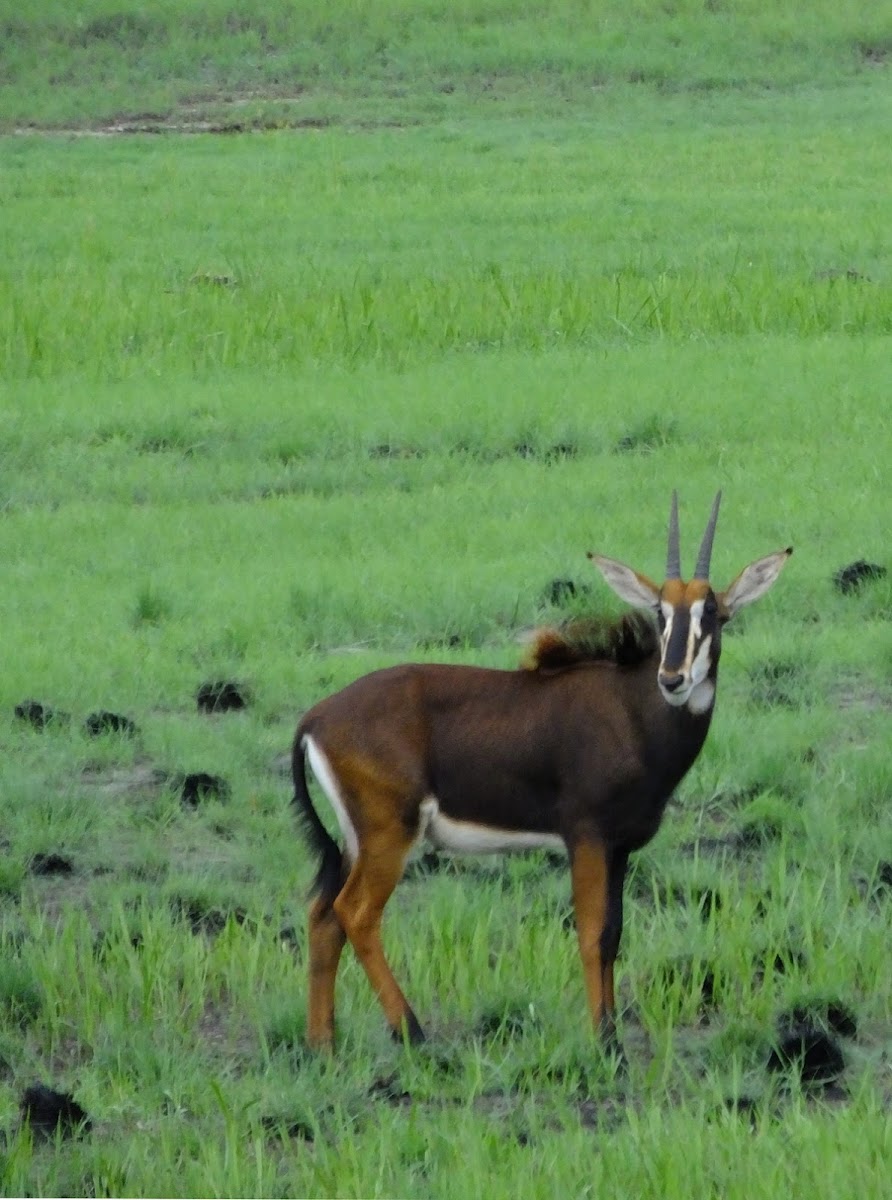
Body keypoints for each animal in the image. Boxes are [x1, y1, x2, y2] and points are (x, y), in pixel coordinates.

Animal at [296, 492, 792, 1046]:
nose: (673, 678)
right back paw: (413, 1033)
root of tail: (316, 717)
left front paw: (612, 1033)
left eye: (712, 611)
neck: (633, 710)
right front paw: (604, 1042)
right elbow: (594, 934)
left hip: (354, 841)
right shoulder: (587, 838)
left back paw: (323, 1047)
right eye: (660, 611)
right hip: (389, 835)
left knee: (323, 917)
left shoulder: (619, 847)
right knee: (355, 914)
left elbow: (615, 933)